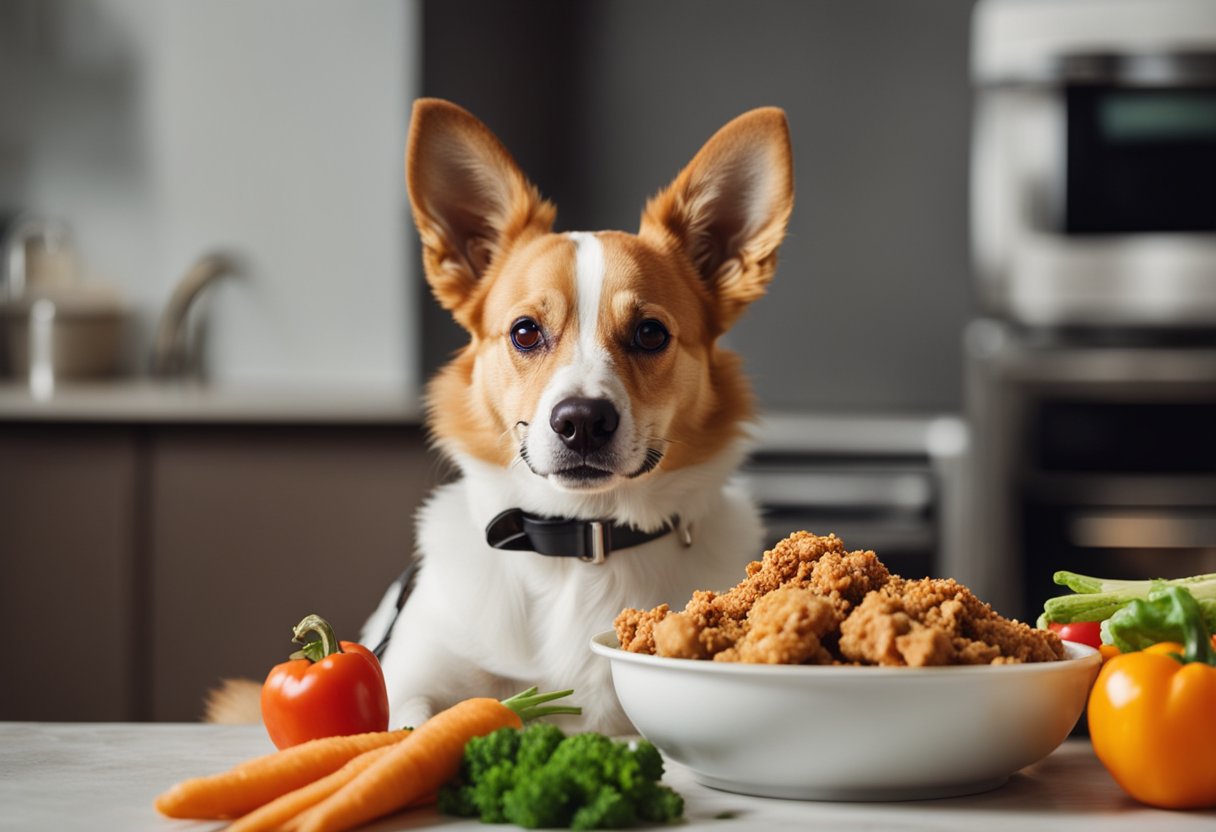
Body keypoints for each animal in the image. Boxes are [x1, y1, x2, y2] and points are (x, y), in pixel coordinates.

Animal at [357, 99, 797, 734]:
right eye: (525, 331)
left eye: (649, 333)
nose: (582, 421)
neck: (581, 545)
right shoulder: (407, 680)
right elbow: (411, 728)